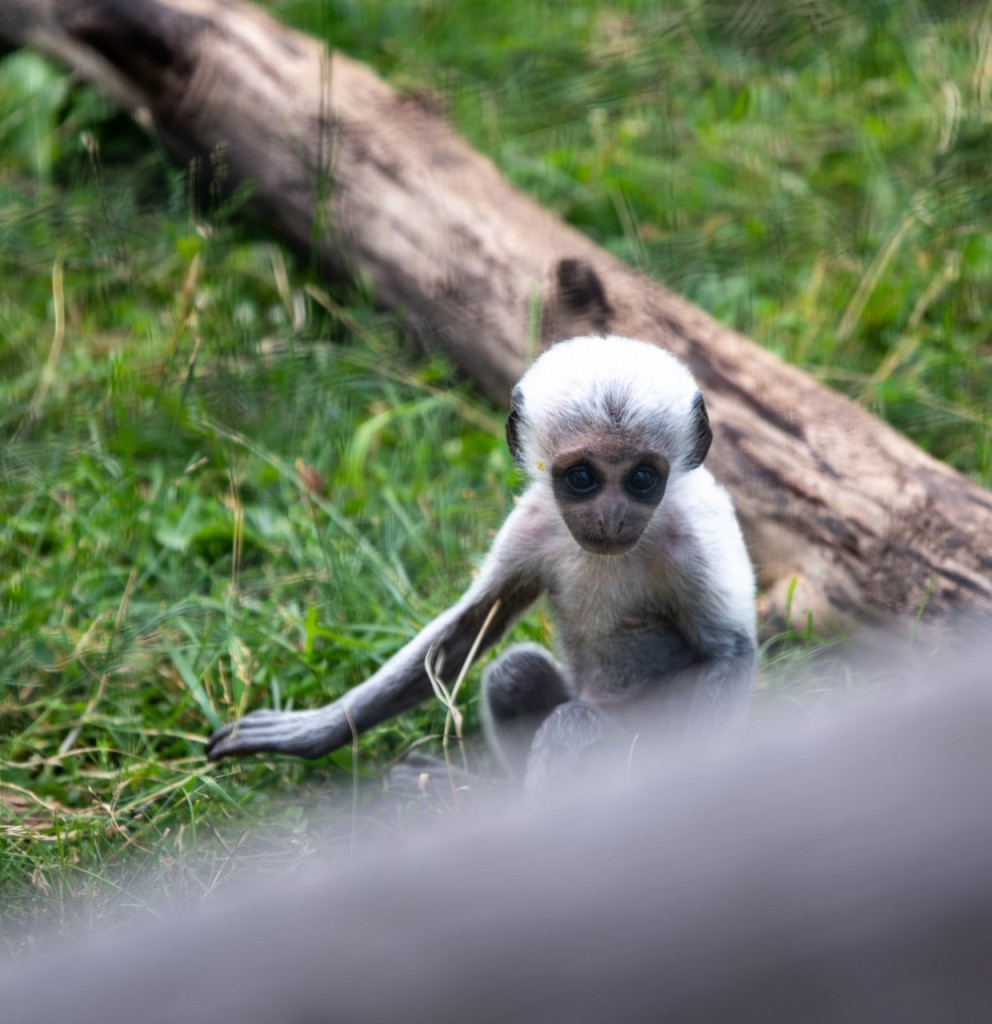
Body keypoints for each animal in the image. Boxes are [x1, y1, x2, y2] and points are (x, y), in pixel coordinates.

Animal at [206, 335, 757, 788]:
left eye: (643, 478)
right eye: (582, 478)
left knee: (572, 724)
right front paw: (313, 730)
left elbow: (729, 655)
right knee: (513, 672)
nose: (612, 517)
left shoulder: (695, 542)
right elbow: (468, 629)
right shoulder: (532, 523)